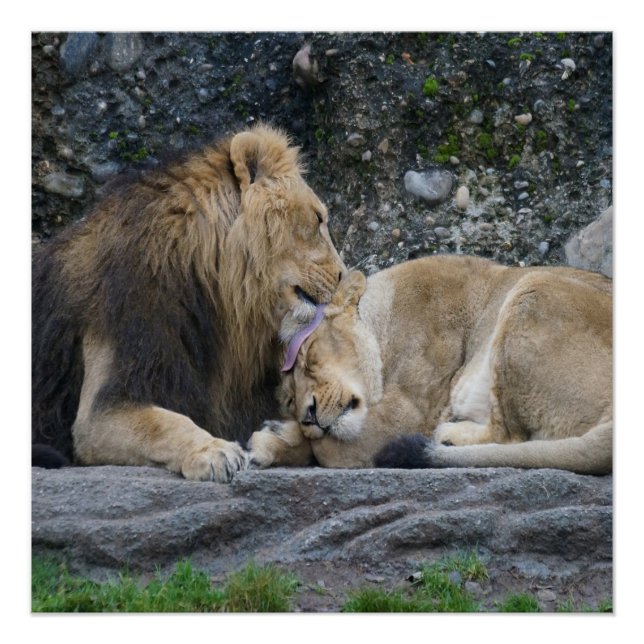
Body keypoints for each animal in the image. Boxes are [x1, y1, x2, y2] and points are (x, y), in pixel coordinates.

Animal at [32, 124, 346, 481]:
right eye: (318, 219)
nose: (343, 276)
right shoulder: (104, 405)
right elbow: (165, 424)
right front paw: (214, 451)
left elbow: (311, 437)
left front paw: (274, 438)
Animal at [248, 254, 612, 475]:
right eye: (290, 399)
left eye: (309, 358)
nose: (308, 416)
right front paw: (274, 439)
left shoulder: (409, 414)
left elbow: (327, 449)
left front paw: (277, 437)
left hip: (533, 287)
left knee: (511, 437)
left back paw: (447, 436)